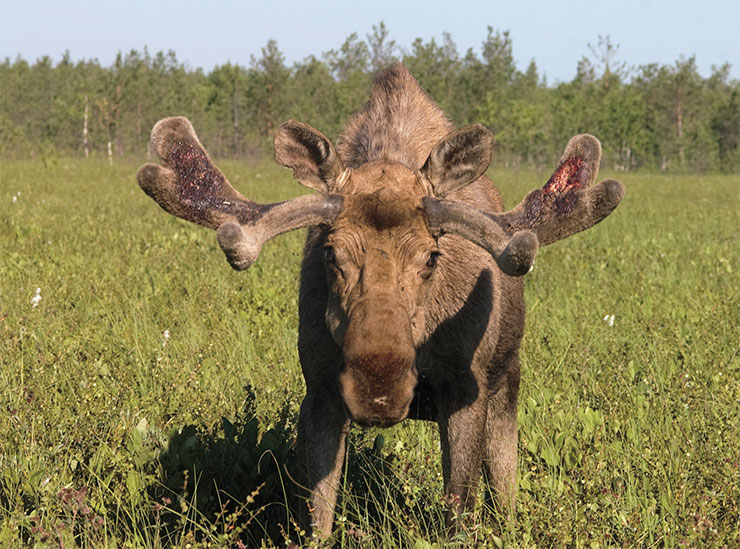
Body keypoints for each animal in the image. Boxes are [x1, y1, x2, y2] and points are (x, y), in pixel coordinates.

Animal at [137, 64, 624, 537]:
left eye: (431, 257)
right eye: (330, 253)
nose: (379, 392)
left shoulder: (465, 387)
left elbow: (459, 512)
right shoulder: (321, 389)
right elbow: (317, 518)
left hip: (507, 379)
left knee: (504, 486)